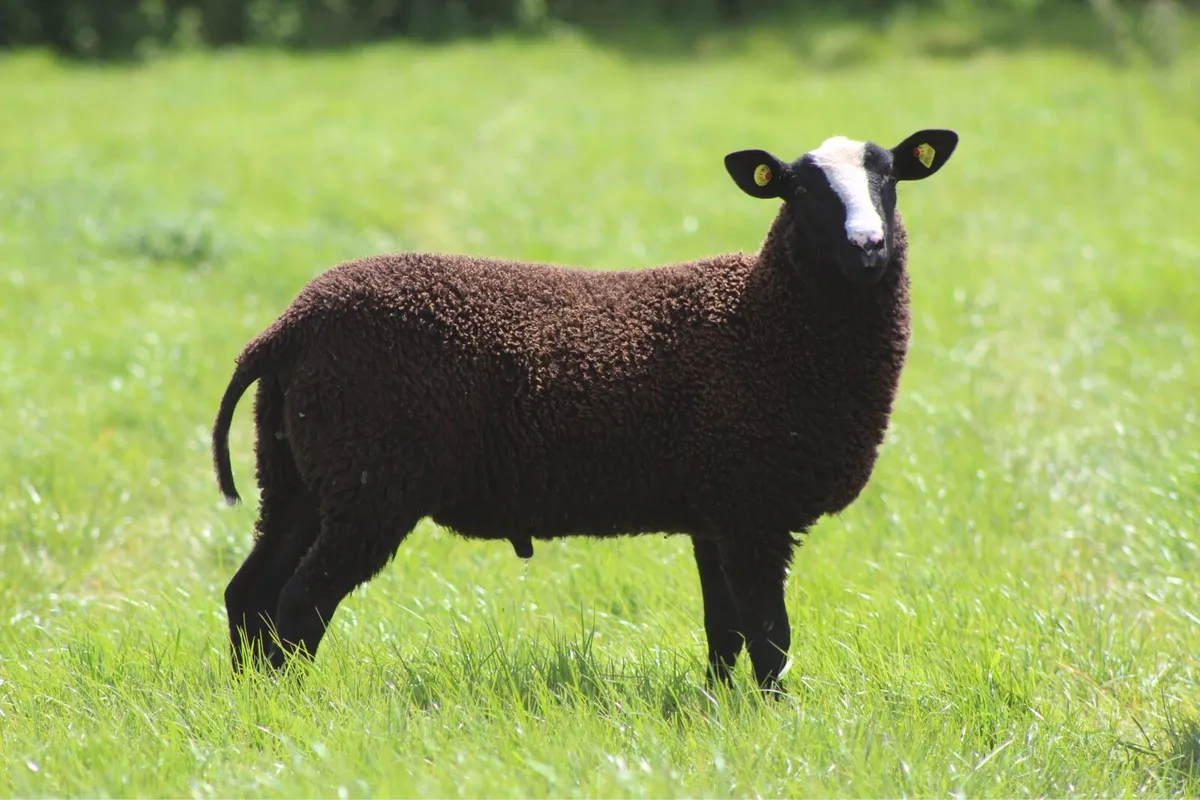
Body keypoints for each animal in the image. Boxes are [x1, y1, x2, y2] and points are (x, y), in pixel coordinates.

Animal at [212, 127, 959, 692]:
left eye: (890, 177)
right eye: (799, 189)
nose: (868, 247)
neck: (763, 321)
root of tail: (290, 327)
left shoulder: (715, 510)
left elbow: (724, 631)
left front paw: (720, 709)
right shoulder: (753, 506)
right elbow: (770, 637)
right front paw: (772, 720)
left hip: (298, 476)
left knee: (250, 593)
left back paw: (255, 697)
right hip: (369, 480)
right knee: (300, 602)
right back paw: (298, 705)